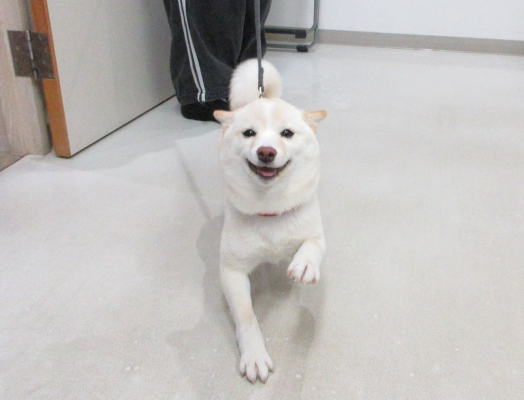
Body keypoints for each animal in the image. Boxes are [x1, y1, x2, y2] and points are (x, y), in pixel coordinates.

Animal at [214, 59, 327, 383]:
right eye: (249, 133)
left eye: (286, 133)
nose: (266, 151)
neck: (271, 210)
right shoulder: (232, 271)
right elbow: (247, 316)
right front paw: (254, 355)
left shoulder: (315, 233)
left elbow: (312, 247)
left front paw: (304, 264)